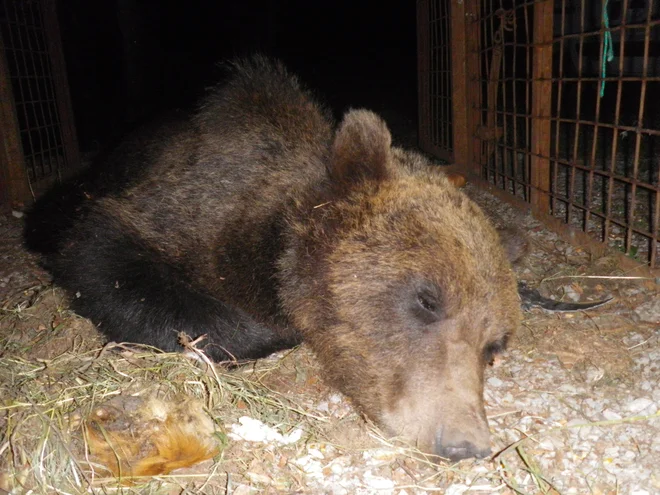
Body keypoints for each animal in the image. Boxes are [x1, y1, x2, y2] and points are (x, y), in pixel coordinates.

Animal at [24, 56, 520, 464]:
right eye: (427, 300)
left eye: (493, 347)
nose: (465, 444)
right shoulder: (184, 212)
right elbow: (105, 259)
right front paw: (264, 331)